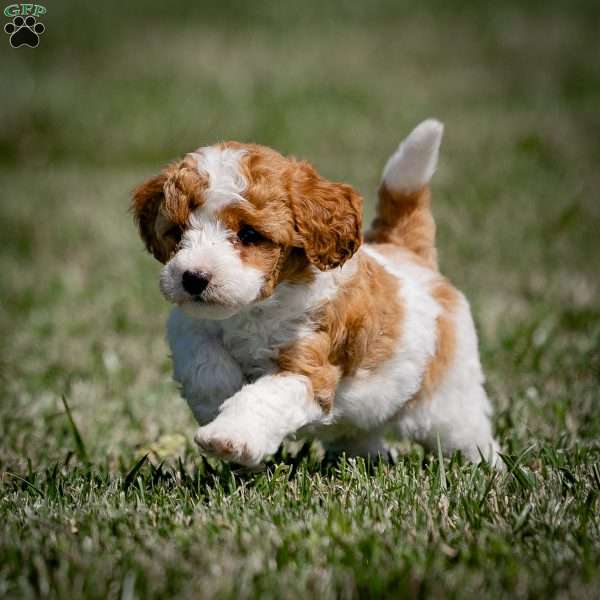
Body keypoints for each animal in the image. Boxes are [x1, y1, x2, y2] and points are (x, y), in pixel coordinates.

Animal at [131, 120, 502, 468]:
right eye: (178, 232)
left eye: (249, 234)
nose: (194, 278)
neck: (255, 308)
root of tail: (407, 252)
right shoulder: (188, 324)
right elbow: (203, 360)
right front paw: (216, 400)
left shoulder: (308, 367)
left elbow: (262, 398)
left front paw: (228, 436)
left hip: (448, 399)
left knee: (466, 434)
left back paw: (489, 468)